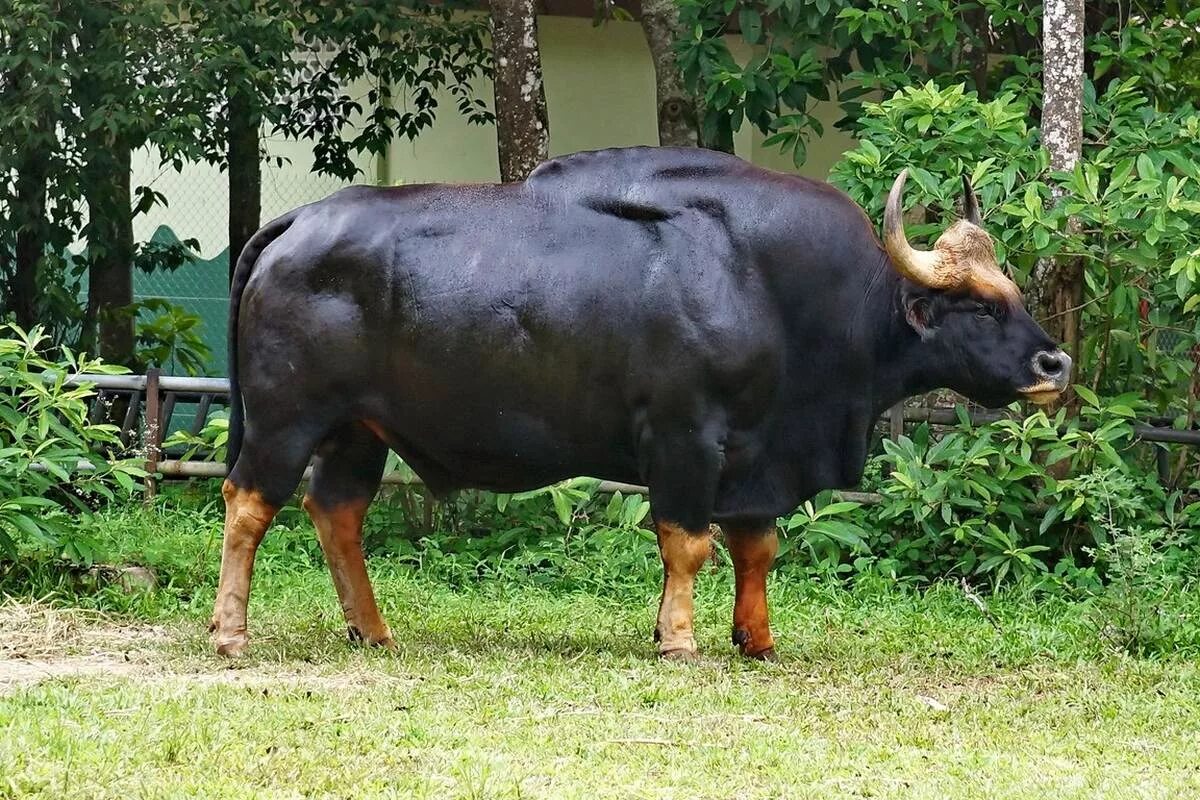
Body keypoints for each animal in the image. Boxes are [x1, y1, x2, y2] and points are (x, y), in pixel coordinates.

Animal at [206, 146, 1070, 662]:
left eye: (1014, 293)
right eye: (978, 307)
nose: (1054, 363)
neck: (780, 290)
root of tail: (296, 222)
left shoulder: (757, 451)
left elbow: (757, 546)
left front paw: (755, 639)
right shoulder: (685, 437)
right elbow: (688, 542)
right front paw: (678, 638)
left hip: (358, 430)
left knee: (336, 511)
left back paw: (374, 629)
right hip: (286, 419)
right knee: (248, 505)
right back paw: (231, 632)